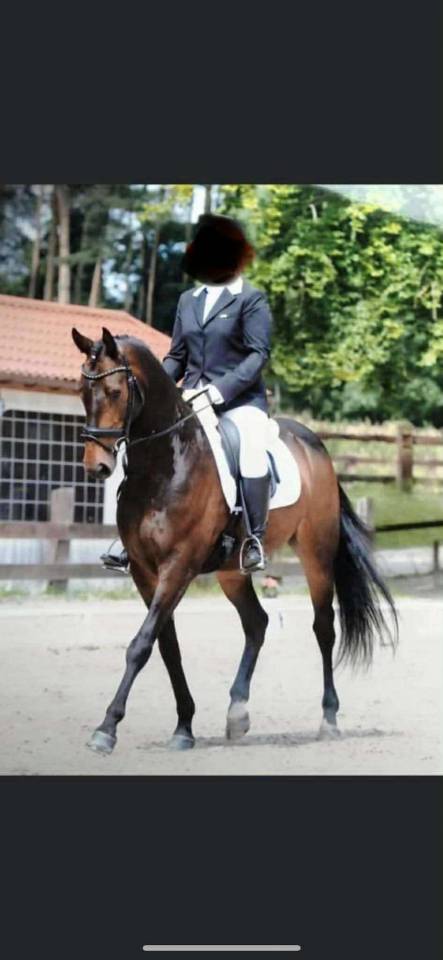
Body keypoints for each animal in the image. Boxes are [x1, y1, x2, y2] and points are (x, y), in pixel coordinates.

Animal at [72, 325, 398, 754]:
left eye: (113, 392)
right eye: (81, 391)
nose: (97, 467)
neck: (164, 465)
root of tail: (315, 444)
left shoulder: (178, 566)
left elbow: (141, 644)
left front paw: (106, 728)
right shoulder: (144, 571)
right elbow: (166, 646)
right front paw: (184, 727)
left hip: (316, 554)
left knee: (324, 627)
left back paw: (328, 719)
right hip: (231, 570)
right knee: (257, 622)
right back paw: (237, 713)